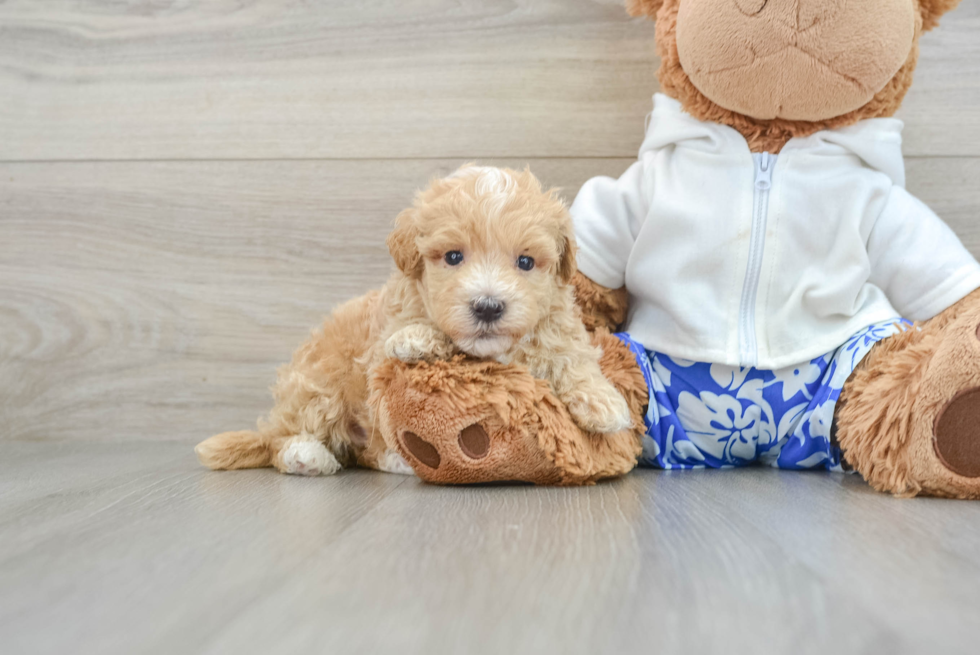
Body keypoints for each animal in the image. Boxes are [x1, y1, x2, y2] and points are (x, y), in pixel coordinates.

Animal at [195, 165, 632, 476]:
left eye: (526, 262)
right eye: (453, 257)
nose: (488, 306)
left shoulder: (557, 322)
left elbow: (572, 355)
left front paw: (605, 402)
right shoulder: (384, 333)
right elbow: (405, 333)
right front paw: (417, 338)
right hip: (320, 385)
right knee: (284, 440)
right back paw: (308, 456)